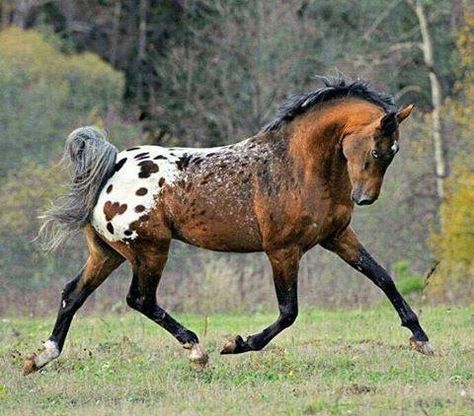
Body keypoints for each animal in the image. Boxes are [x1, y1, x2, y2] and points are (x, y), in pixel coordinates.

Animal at [25, 76, 434, 376]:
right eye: (378, 150)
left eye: (393, 153)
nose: (365, 198)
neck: (297, 165)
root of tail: (112, 167)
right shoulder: (282, 250)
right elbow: (289, 311)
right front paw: (236, 344)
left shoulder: (336, 237)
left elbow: (383, 278)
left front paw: (420, 338)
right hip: (150, 249)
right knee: (139, 299)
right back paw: (197, 350)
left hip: (109, 253)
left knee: (73, 294)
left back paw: (40, 358)